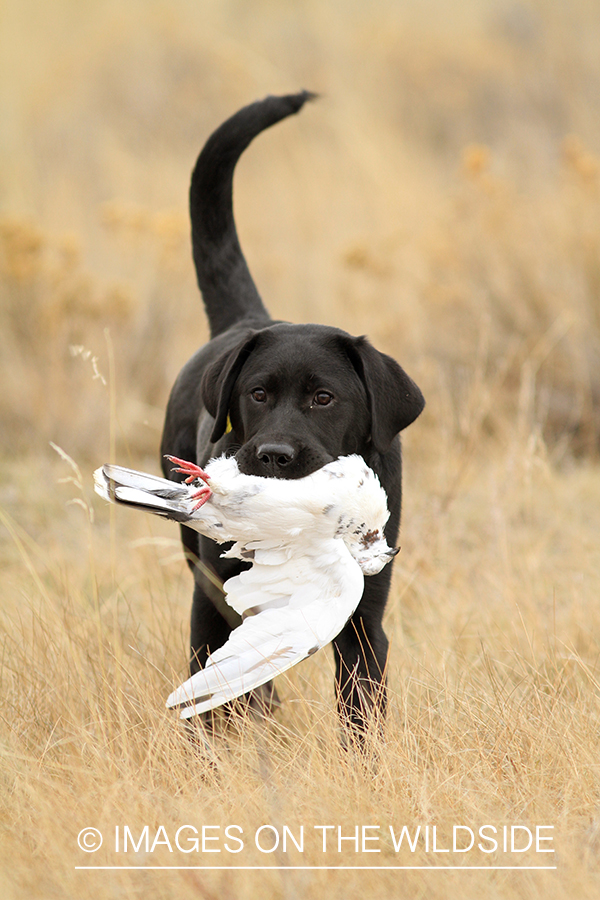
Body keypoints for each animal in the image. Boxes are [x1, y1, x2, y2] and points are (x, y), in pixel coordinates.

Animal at [159, 91, 422, 736]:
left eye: (323, 399)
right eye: (257, 394)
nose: (275, 455)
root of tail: (248, 318)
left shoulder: (365, 621)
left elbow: (361, 711)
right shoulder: (210, 602)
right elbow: (209, 698)